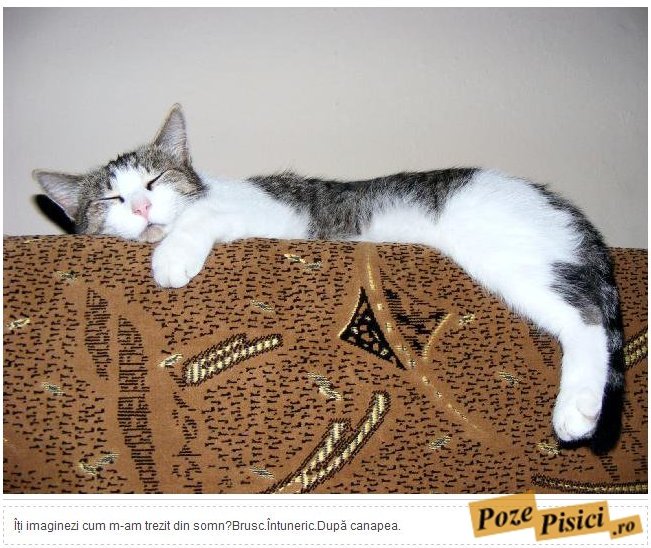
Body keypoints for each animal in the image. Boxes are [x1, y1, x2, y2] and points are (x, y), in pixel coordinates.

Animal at [34, 104, 624, 454]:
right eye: (111, 199)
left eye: (156, 180)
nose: (139, 207)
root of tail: (557, 202)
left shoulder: (270, 213)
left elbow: (201, 219)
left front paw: (172, 256)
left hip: (510, 256)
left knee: (587, 317)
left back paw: (576, 408)